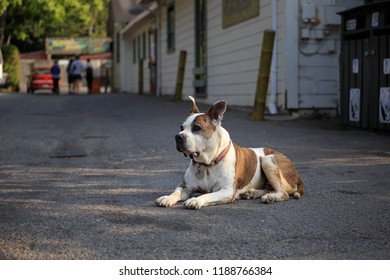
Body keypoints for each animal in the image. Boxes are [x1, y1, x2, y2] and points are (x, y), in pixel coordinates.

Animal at [155, 96, 304, 208]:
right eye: (181, 127)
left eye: (196, 128)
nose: (178, 137)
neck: (208, 163)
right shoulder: (186, 186)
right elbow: (177, 191)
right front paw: (167, 197)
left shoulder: (227, 191)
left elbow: (208, 194)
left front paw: (196, 200)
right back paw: (252, 193)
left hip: (268, 160)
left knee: (284, 193)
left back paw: (270, 197)